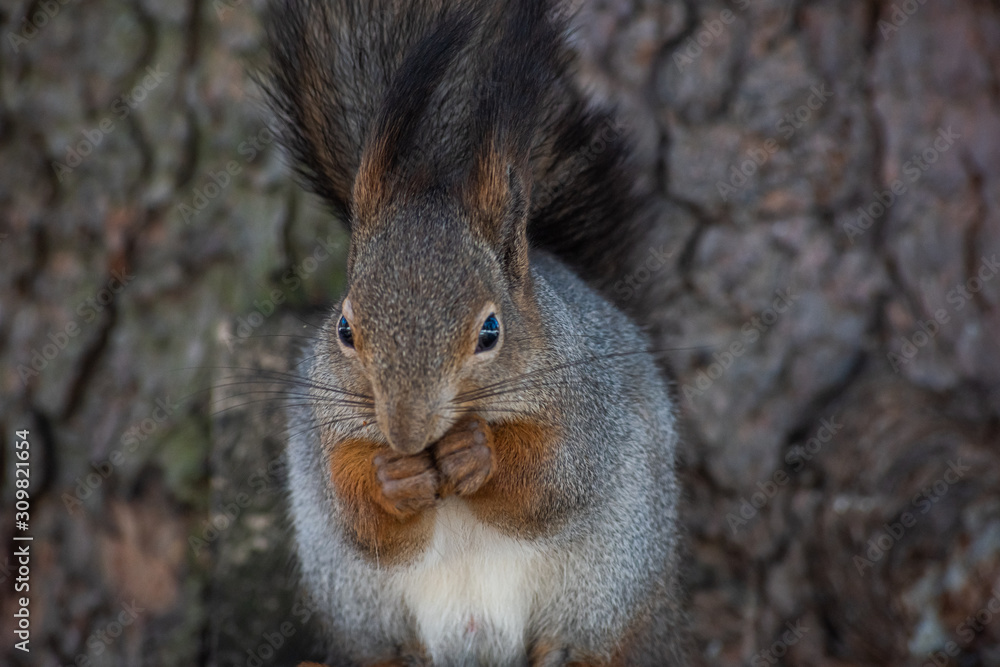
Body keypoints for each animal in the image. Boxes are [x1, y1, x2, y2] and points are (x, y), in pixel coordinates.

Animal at [263, 0, 688, 664]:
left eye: (491, 331)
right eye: (345, 329)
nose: (406, 433)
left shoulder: (587, 409)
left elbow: (550, 480)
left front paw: (476, 452)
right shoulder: (328, 429)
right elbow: (358, 516)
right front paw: (394, 476)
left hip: (610, 590)